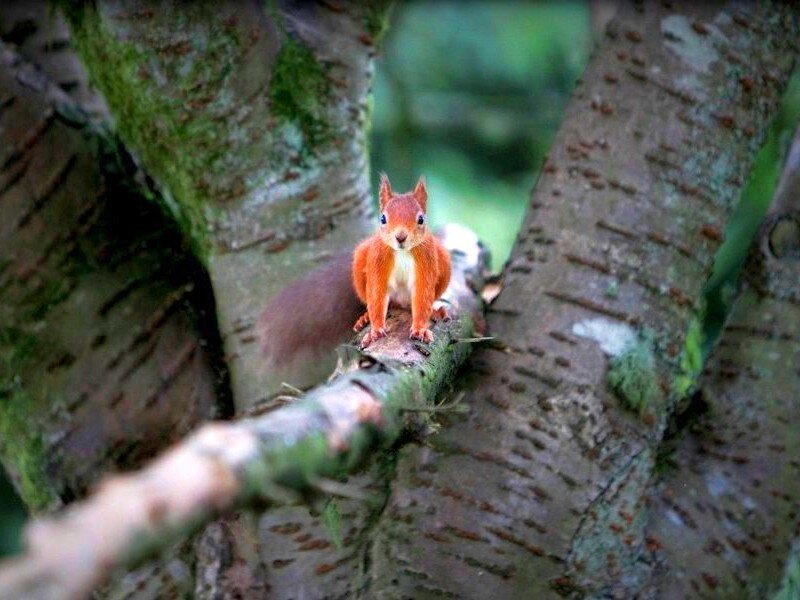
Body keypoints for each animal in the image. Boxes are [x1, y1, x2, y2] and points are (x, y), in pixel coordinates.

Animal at [258, 174, 451, 387]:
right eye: (383, 218)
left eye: (421, 219)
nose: (400, 237)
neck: (402, 252)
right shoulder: (376, 259)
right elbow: (376, 293)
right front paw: (375, 329)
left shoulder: (427, 261)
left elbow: (423, 295)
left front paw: (420, 328)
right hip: (360, 259)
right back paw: (365, 317)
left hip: (443, 260)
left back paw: (435, 311)